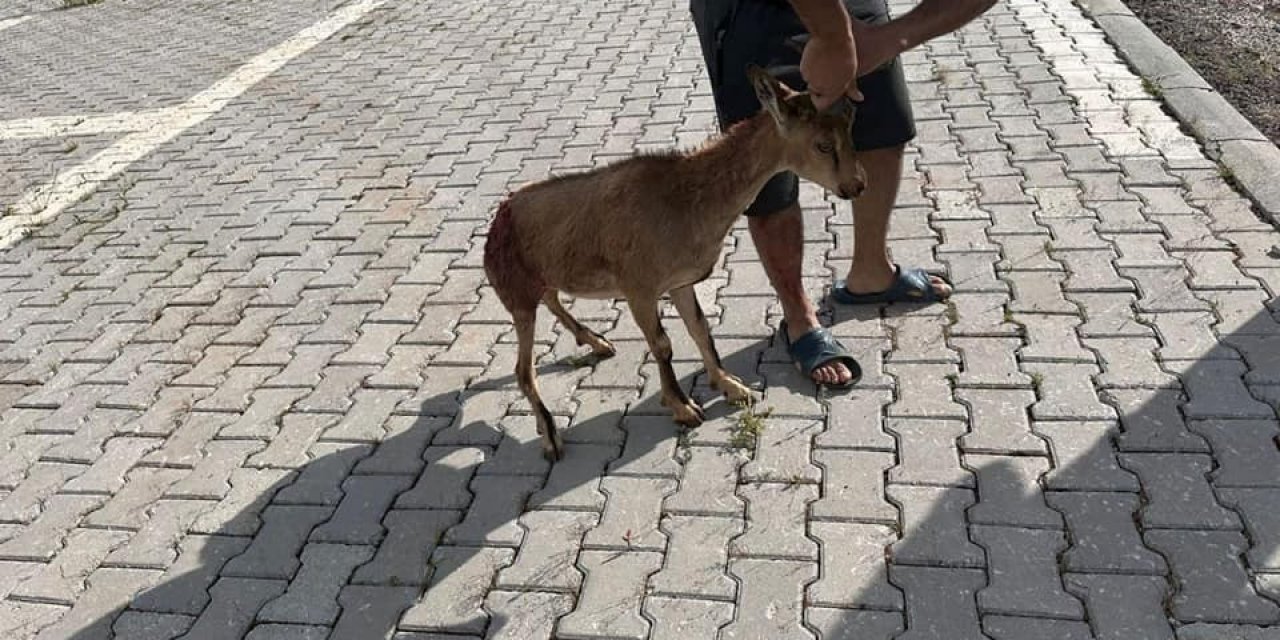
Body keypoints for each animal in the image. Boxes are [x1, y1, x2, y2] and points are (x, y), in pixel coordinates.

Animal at [483, 66, 865, 460]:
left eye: (850, 130)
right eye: (822, 145)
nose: (856, 186)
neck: (684, 199)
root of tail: (497, 222)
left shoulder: (680, 283)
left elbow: (700, 329)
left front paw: (731, 385)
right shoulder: (639, 288)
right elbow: (663, 344)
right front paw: (683, 407)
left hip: (540, 278)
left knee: (552, 298)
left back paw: (596, 342)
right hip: (516, 294)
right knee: (523, 369)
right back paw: (550, 435)